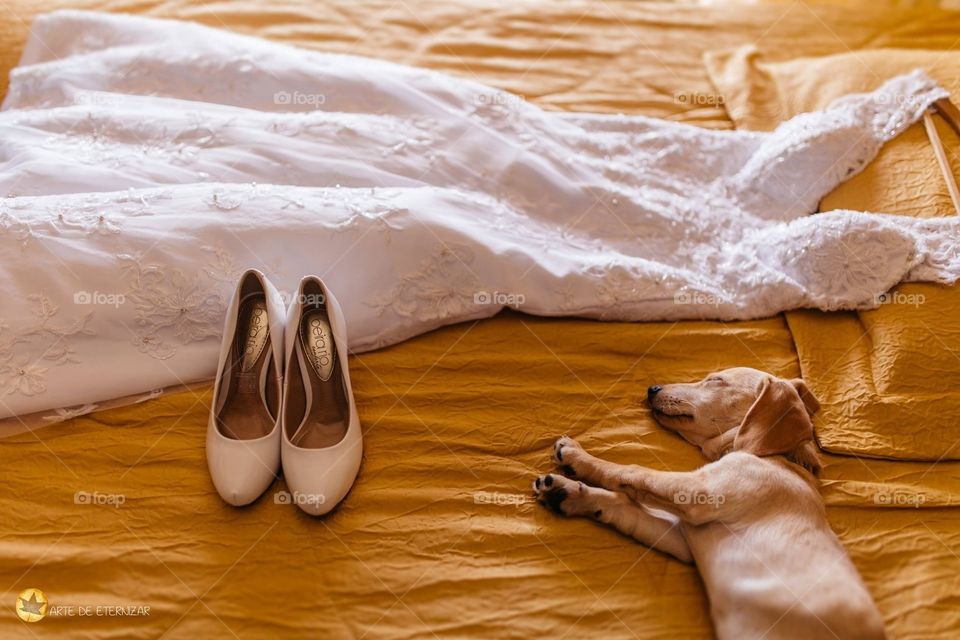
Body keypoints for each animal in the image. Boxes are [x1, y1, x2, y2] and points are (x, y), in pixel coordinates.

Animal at [532, 364, 884, 640]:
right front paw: (567, 492)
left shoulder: (697, 492)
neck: (775, 457)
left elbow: (630, 473)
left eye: (715, 380)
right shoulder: (685, 536)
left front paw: (578, 457)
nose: (652, 388)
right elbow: (623, 505)